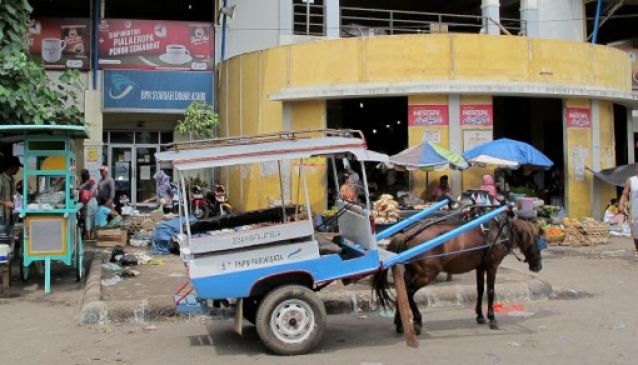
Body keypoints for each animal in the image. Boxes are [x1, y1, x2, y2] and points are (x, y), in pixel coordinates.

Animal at [376, 213, 544, 332]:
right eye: (536, 240)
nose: (538, 266)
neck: (499, 233)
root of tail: (406, 234)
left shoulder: (480, 267)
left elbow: (480, 289)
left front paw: (480, 316)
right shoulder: (492, 266)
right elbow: (490, 291)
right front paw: (492, 318)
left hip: (412, 272)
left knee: (402, 292)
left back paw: (400, 323)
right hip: (426, 274)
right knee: (409, 291)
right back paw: (417, 321)